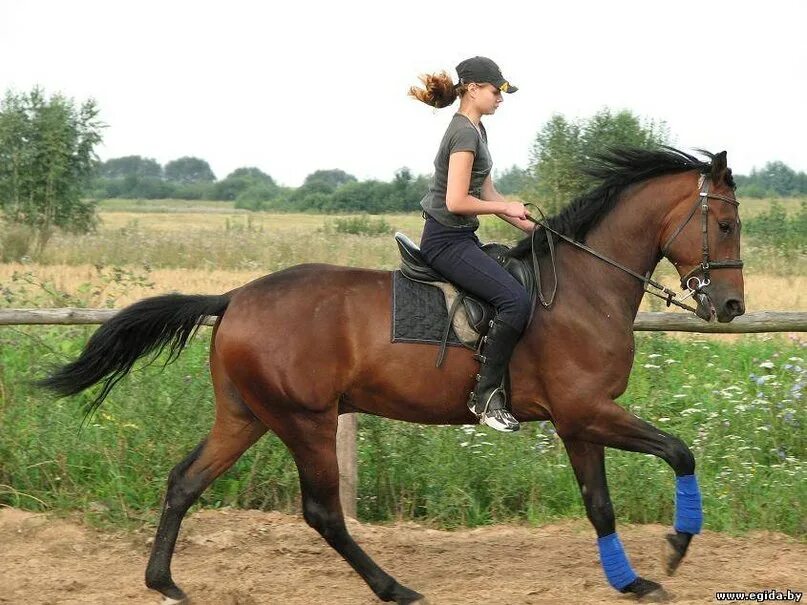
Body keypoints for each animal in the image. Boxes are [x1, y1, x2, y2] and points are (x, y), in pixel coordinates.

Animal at [39, 147, 744, 604]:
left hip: (246, 415)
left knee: (185, 482)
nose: (731, 307)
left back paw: (165, 584)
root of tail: (234, 297)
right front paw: (678, 544)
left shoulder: (579, 422)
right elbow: (679, 451)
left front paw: (632, 581)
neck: (582, 289)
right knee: (322, 512)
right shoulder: (588, 412)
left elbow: (600, 504)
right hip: (305, 420)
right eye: (727, 222)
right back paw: (395, 588)